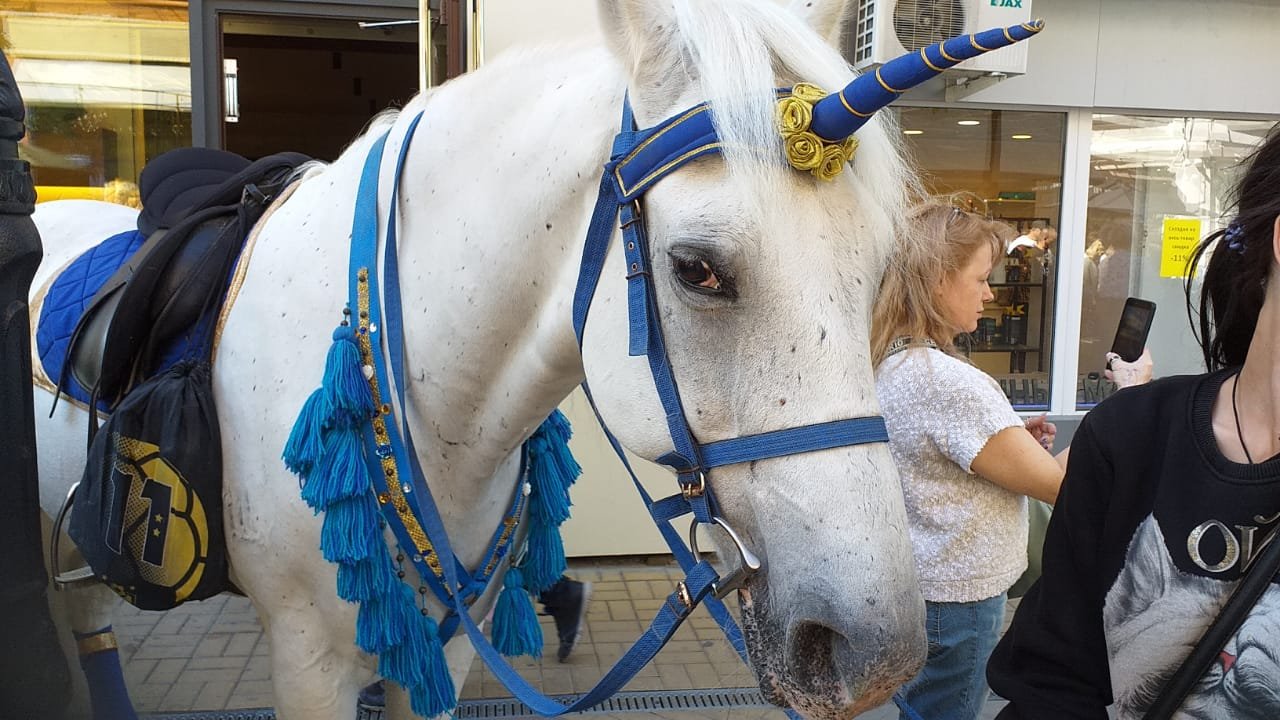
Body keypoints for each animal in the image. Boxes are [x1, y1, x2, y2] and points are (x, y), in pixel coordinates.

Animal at [30, 0, 936, 712]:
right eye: (696, 269)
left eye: (878, 270)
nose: (875, 654)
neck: (432, 407)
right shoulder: (309, 658)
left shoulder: (450, 644)